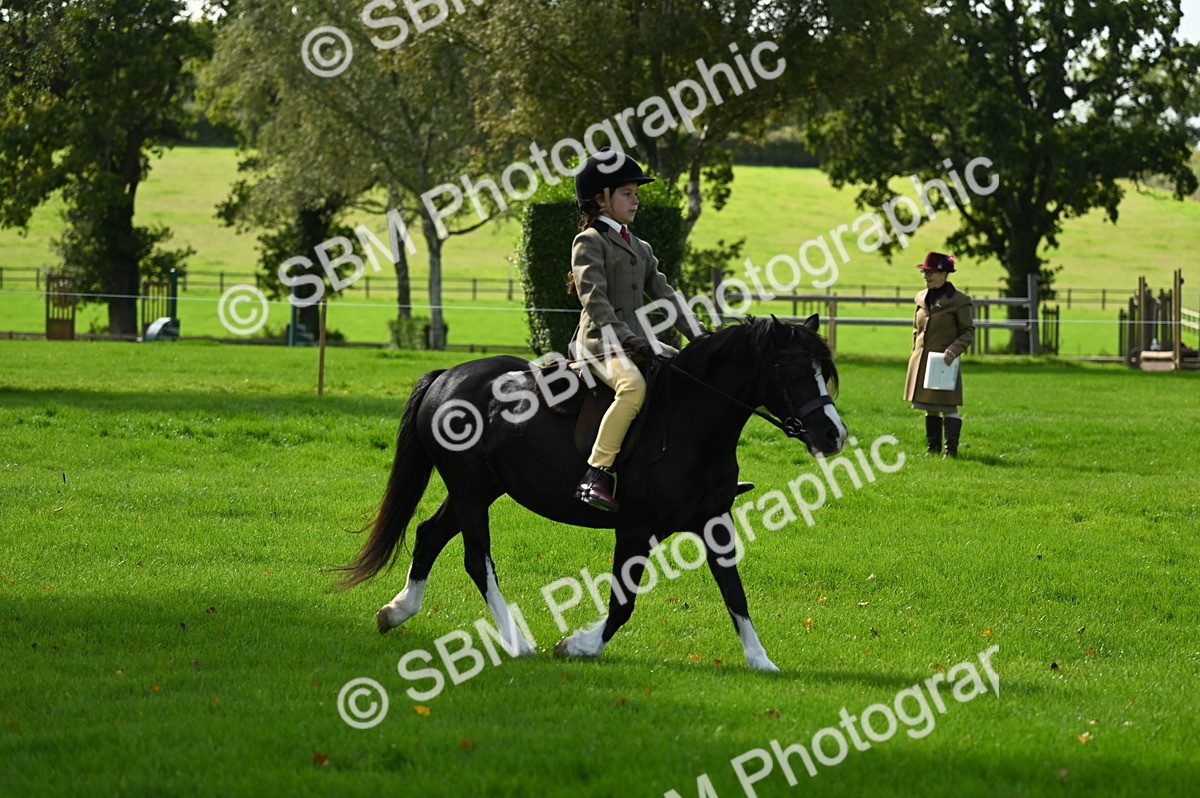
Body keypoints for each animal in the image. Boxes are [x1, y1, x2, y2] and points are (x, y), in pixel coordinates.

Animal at [338, 314, 847, 671]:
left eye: (823, 371)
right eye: (793, 372)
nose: (834, 434)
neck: (691, 421)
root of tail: (446, 377)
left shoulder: (714, 521)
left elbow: (734, 593)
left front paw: (761, 660)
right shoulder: (636, 527)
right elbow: (623, 602)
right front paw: (578, 645)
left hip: (481, 489)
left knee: (429, 534)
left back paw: (396, 612)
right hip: (468, 487)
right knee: (476, 559)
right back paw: (515, 641)